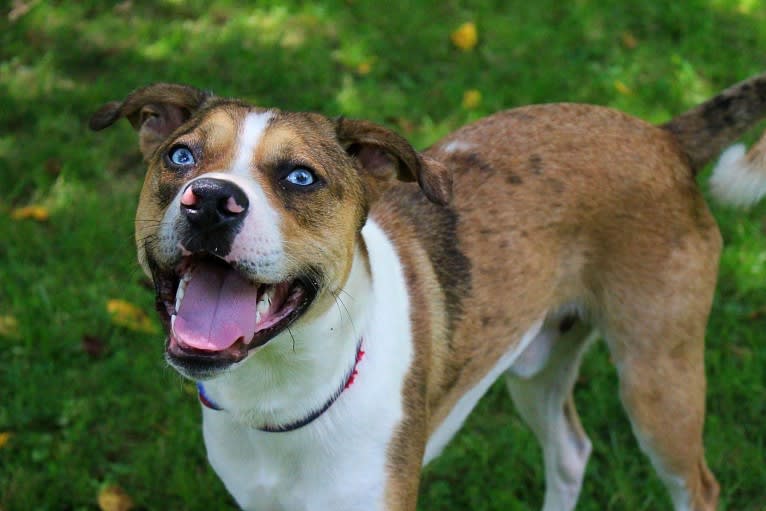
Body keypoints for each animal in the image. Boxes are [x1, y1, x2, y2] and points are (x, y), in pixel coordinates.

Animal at [91, 73, 766, 511]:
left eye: (301, 177)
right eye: (181, 156)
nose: (209, 201)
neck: (280, 395)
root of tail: (662, 136)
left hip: (659, 381)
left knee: (698, 486)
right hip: (537, 366)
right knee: (572, 452)